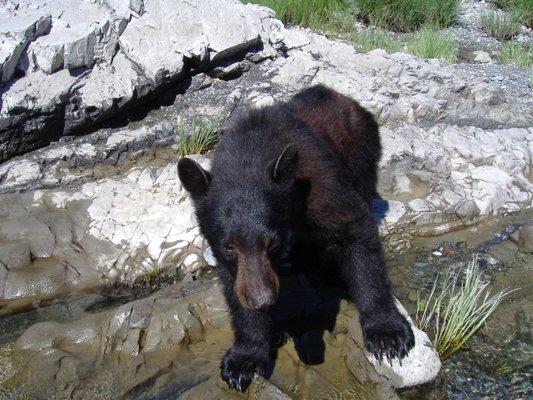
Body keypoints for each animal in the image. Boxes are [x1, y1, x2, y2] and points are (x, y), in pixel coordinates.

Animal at [177, 84, 414, 390]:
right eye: (229, 246)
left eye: (273, 242)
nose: (262, 300)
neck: (252, 151)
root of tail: (339, 95)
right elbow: (234, 286)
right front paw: (243, 359)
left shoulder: (320, 185)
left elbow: (357, 232)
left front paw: (387, 333)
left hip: (361, 153)